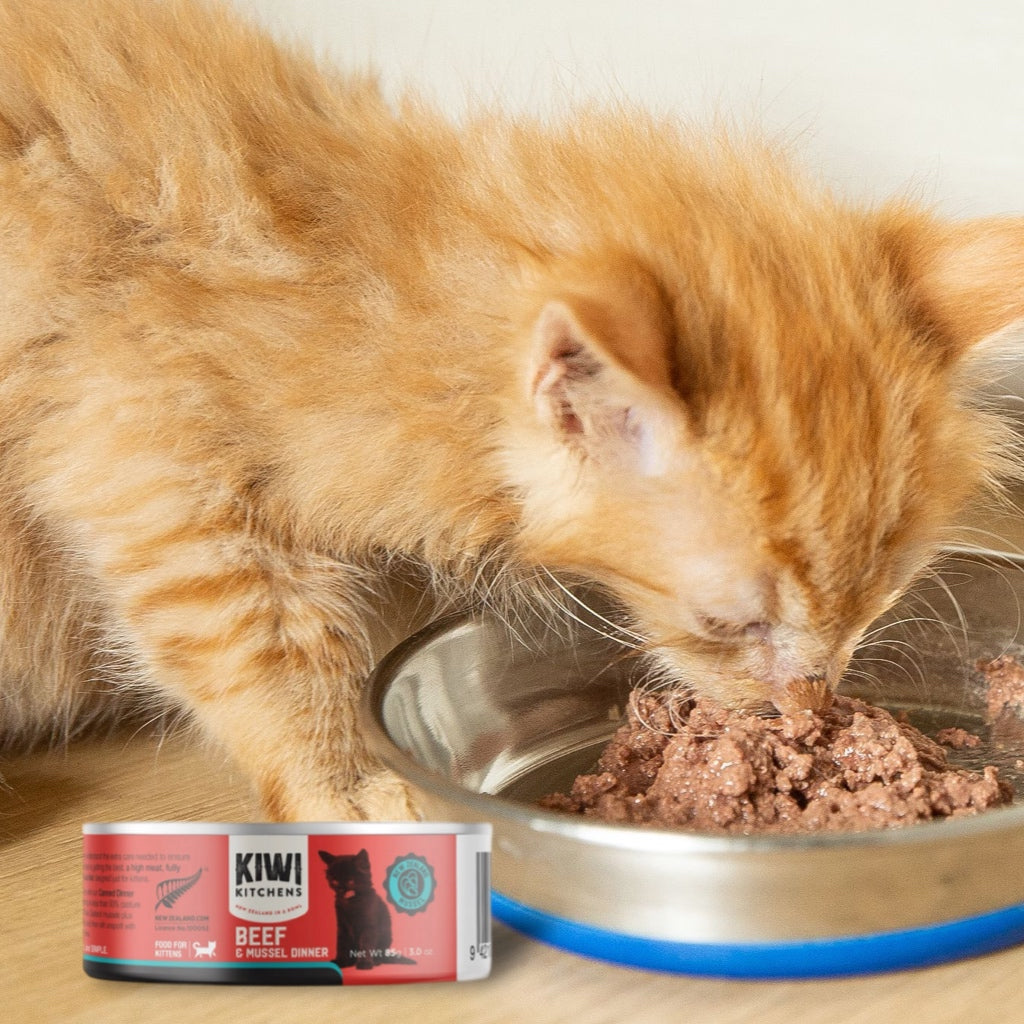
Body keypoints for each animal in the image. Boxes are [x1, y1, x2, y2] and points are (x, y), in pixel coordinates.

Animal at [2, 0, 1024, 819]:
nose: (810, 708)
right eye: (730, 624)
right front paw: (346, 792)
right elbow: (271, 664)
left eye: (876, 607)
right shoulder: (166, 493)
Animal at [83, 819, 491, 978]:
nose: (339, 888)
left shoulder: (365, 925)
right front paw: (340, 963)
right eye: (332, 878)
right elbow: (341, 944)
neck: (349, 903)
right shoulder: (341, 926)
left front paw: (362, 965)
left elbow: (364, 942)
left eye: (351, 878)